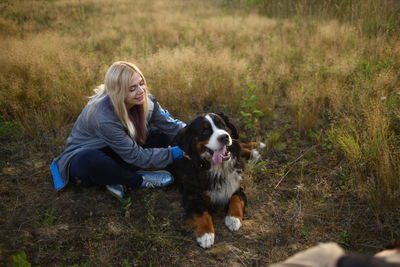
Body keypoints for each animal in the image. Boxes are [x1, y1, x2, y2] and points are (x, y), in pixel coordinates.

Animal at [170, 112, 264, 249]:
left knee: (238, 144)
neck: (217, 168)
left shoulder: (236, 185)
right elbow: (202, 213)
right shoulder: (191, 196)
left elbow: (236, 198)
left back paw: (255, 150)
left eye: (222, 125)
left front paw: (233, 219)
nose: (224, 137)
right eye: (205, 131)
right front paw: (206, 234)